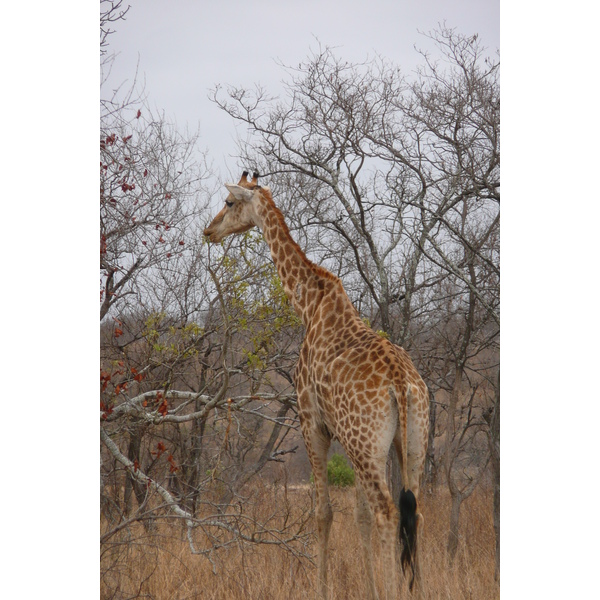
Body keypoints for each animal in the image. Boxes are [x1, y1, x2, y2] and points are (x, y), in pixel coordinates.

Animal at [204, 171, 428, 596]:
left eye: (228, 202)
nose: (209, 231)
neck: (308, 304)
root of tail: (400, 382)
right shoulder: (354, 442)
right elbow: (357, 516)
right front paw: (370, 590)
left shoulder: (312, 422)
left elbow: (323, 513)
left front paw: (321, 590)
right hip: (410, 443)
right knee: (413, 513)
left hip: (366, 443)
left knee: (389, 514)